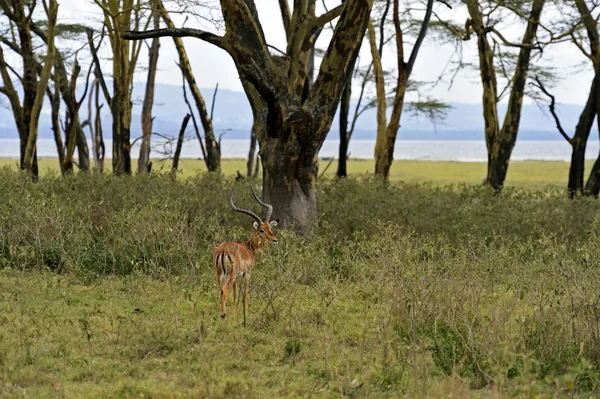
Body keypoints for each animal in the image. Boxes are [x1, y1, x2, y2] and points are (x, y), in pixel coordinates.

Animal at [213, 187, 278, 324]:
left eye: (270, 228)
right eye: (261, 230)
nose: (275, 240)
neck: (249, 248)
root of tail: (223, 250)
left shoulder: (237, 277)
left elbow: (235, 295)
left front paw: (234, 315)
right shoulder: (246, 274)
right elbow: (245, 295)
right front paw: (245, 316)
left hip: (220, 274)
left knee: (221, 291)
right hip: (230, 276)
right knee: (224, 292)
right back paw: (223, 315)